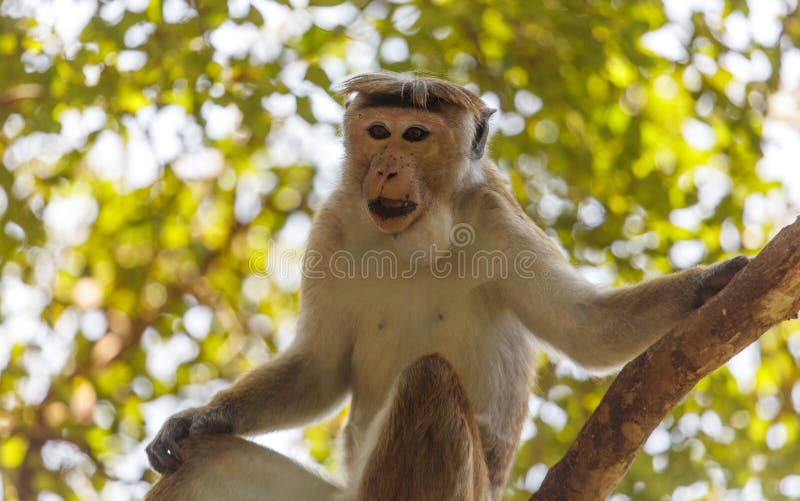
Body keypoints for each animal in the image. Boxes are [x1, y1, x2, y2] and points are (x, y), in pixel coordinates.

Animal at [145, 72, 748, 500]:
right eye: (378, 132)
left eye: (415, 135)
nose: (386, 167)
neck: (411, 240)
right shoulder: (332, 224)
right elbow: (318, 367)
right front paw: (195, 420)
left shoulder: (497, 218)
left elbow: (587, 327)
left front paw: (713, 283)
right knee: (205, 465)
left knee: (429, 377)